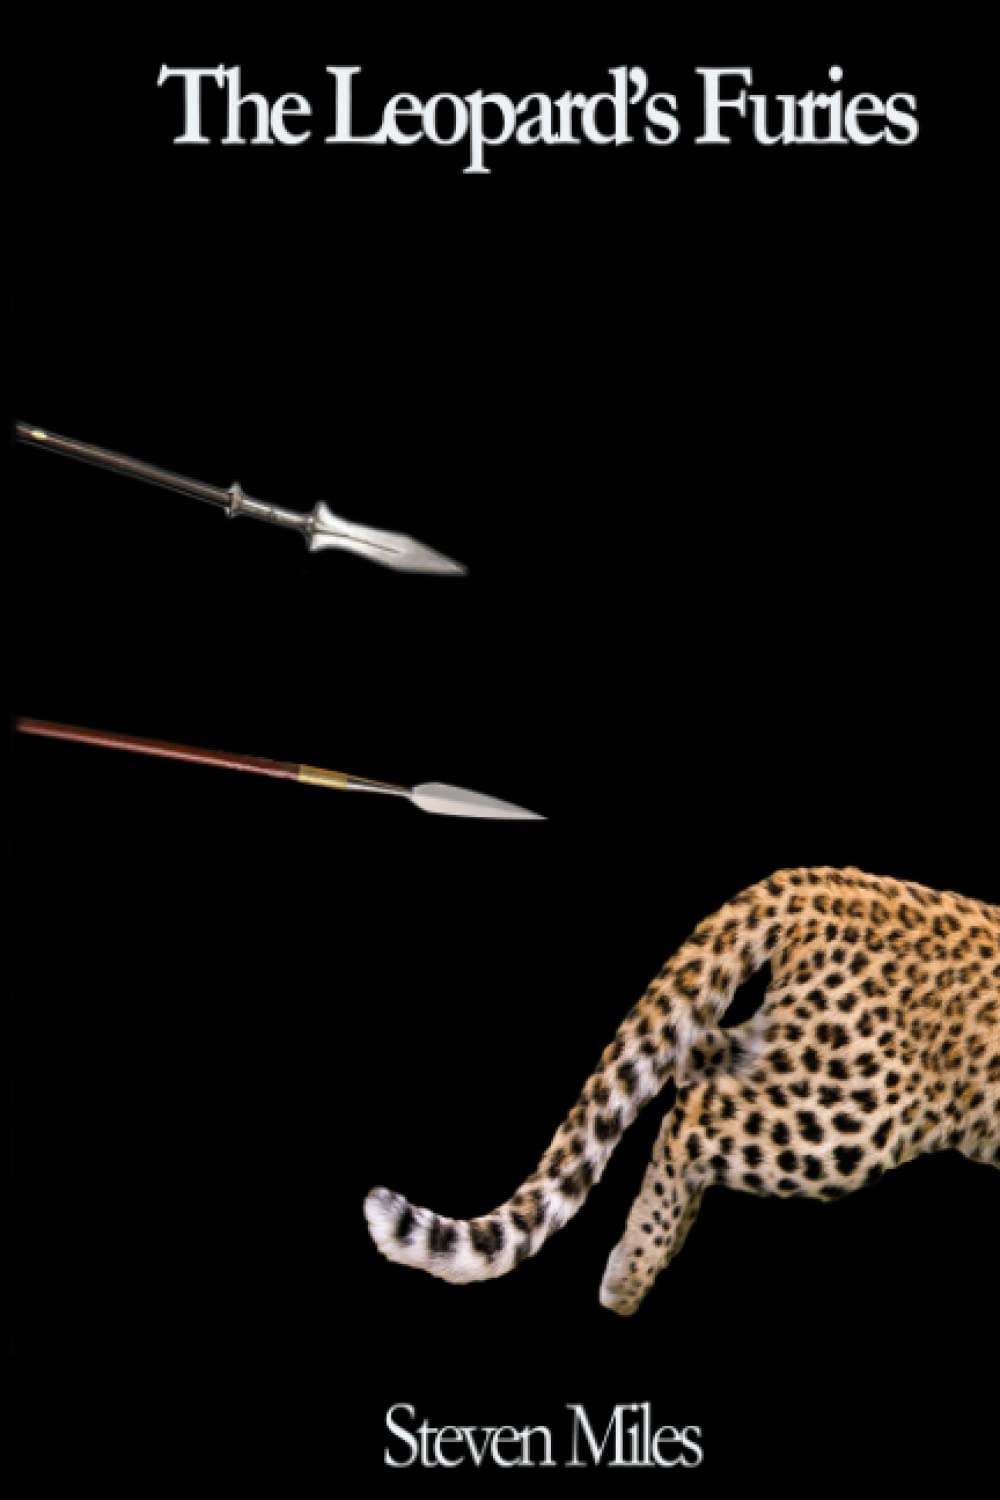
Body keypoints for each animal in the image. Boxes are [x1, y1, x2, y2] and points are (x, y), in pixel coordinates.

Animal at [365, 867, 999, 1315]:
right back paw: (631, 1273)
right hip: (850, 1114)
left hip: (795, 1057)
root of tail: (835, 883)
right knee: (694, 1117)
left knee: (691, 1061)